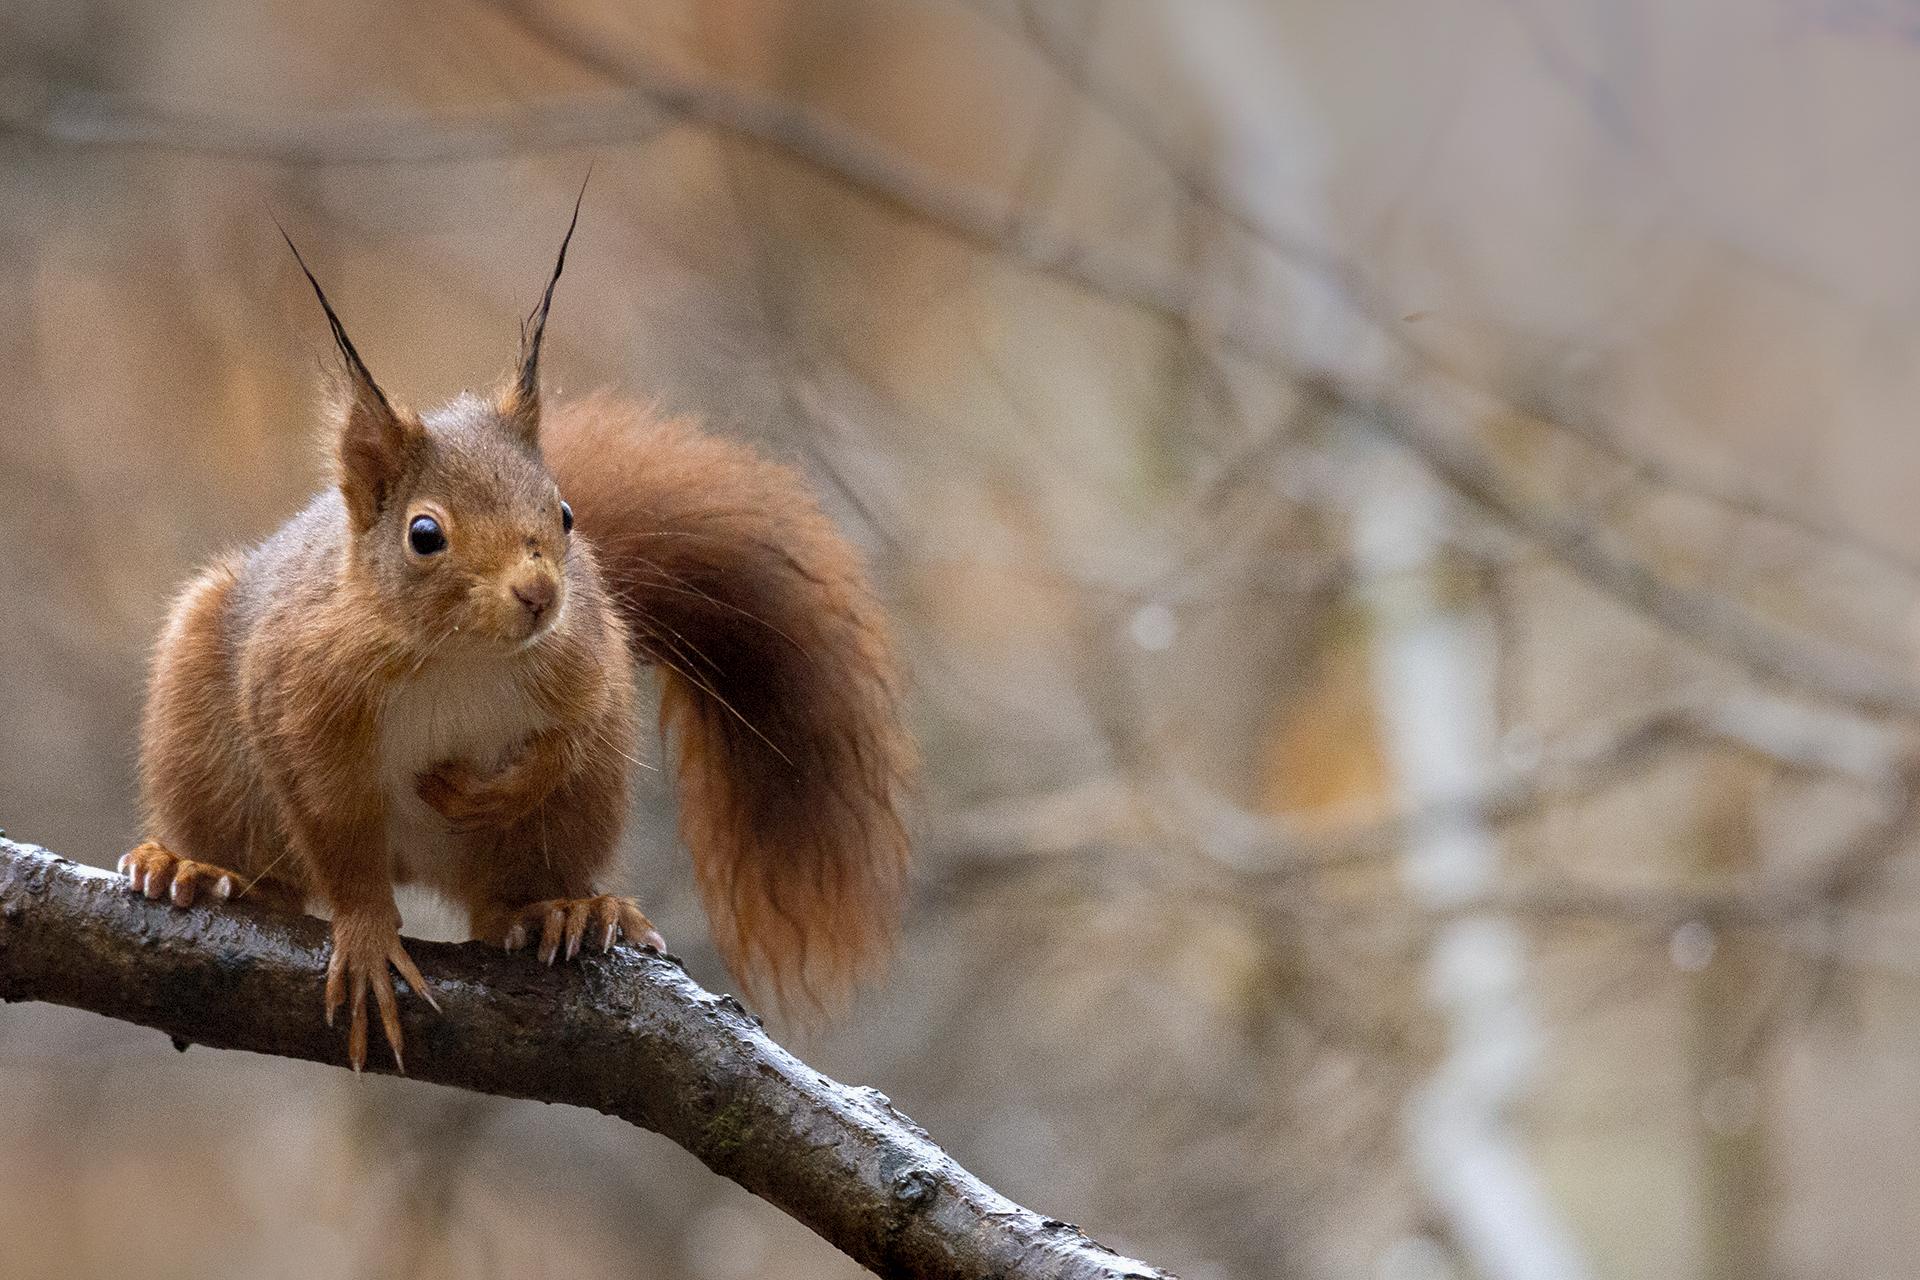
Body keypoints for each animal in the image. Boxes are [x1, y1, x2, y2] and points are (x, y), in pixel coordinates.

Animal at [120, 192, 913, 1074]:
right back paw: (187, 868)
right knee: (270, 877)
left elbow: (559, 747)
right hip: (202, 726)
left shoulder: (585, 665)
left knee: (503, 906)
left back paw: (566, 912)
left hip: (573, 811)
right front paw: (365, 938)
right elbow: (337, 837)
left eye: (565, 513)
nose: (539, 593)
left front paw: (480, 794)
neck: (460, 656)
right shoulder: (297, 698)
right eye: (424, 534)